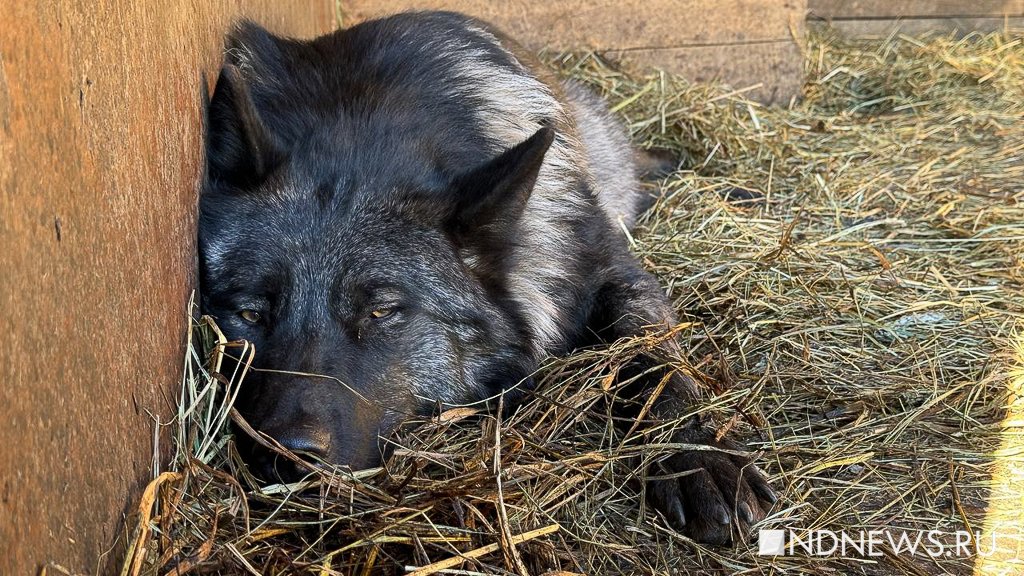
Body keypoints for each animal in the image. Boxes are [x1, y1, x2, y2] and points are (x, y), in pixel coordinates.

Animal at [199, 10, 770, 541]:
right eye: (249, 313)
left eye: (382, 311)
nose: (288, 452)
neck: (361, 117)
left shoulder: (614, 271)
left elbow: (655, 359)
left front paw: (696, 454)